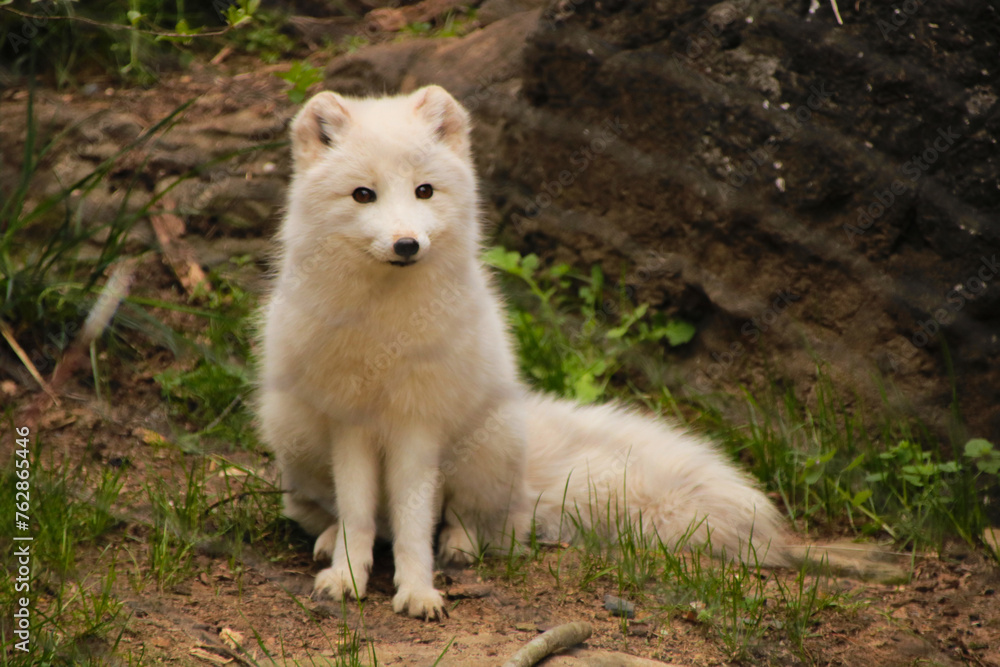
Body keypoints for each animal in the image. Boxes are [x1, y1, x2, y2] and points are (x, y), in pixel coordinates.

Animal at [256, 86, 868, 621]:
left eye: (424, 191)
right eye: (364, 194)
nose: (407, 244)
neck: (383, 326)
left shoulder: (418, 424)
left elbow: (413, 525)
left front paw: (418, 590)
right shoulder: (350, 424)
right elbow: (359, 514)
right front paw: (348, 578)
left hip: (483, 443)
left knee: (482, 519)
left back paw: (459, 545)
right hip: (292, 433)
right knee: (346, 515)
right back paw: (330, 541)